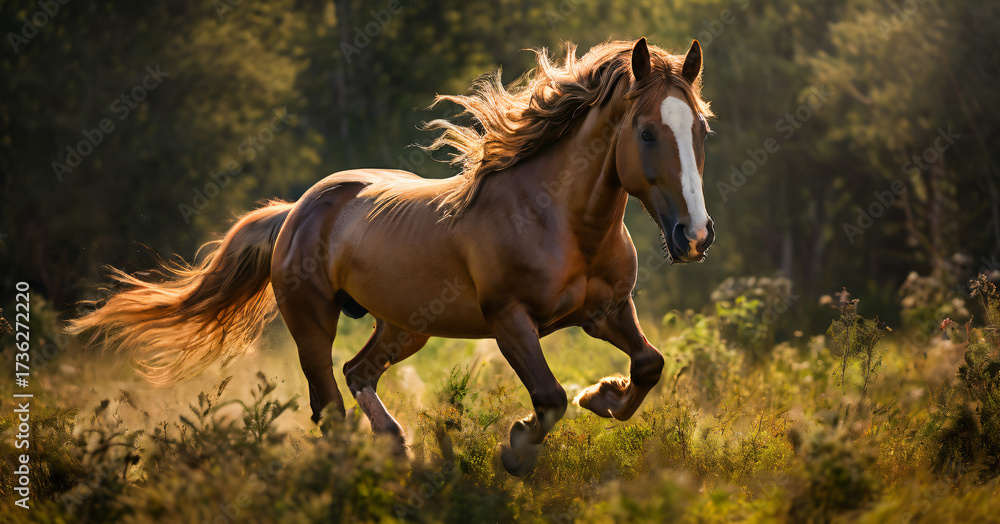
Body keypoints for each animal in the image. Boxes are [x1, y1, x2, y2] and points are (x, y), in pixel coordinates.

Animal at [68, 37, 716, 476]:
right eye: (647, 132)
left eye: (701, 130)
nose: (695, 237)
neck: (561, 221)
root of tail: (296, 210)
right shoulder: (511, 321)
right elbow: (550, 399)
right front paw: (516, 449)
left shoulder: (607, 311)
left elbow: (649, 364)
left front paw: (602, 396)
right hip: (312, 323)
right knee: (328, 404)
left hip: (405, 327)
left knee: (359, 374)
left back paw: (397, 447)